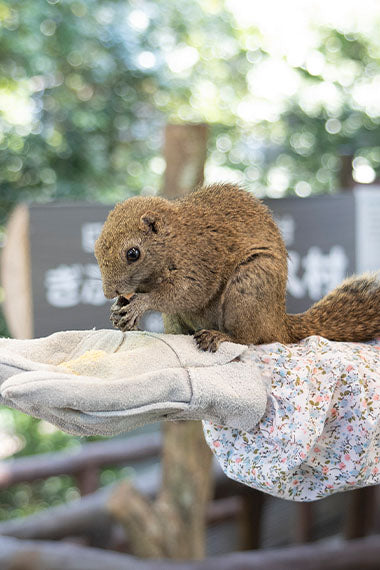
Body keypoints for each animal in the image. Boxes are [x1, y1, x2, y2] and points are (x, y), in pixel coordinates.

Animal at [94, 184, 380, 348]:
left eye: (133, 253)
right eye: (95, 247)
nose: (108, 292)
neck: (175, 238)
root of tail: (279, 323)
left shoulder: (201, 258)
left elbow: (187, 293)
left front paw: (139, 304)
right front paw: (118, 309)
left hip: (249, 286)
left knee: (249, 339)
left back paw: (221, 337)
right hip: (177, 318)